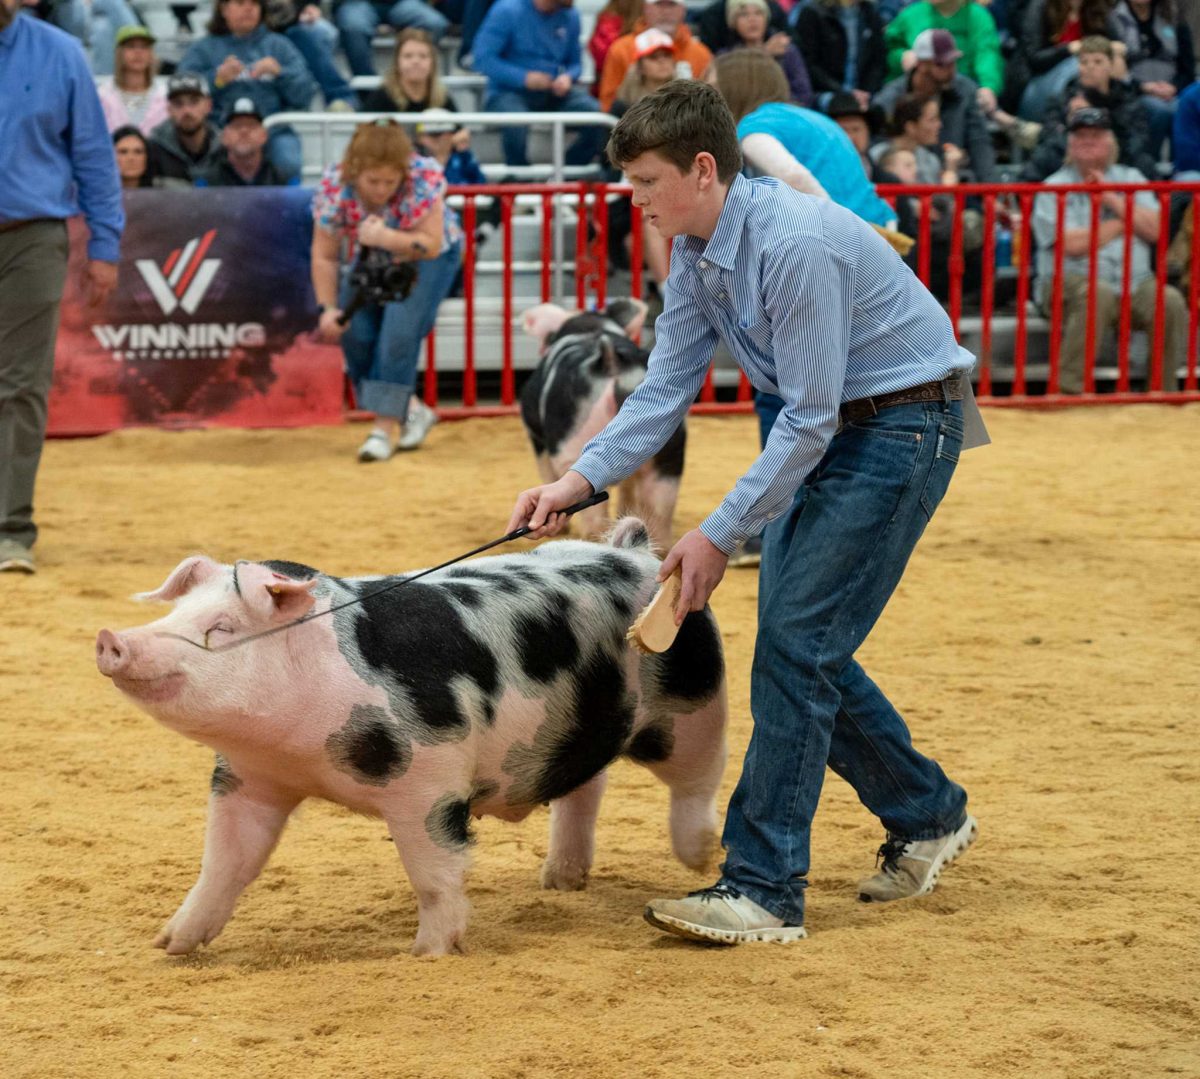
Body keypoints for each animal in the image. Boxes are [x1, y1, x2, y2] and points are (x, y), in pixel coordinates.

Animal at [96, 519, 727, 957]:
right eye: (172, 615)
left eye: (221, 629)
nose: (112, 639)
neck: (306, 749)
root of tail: (635, 552)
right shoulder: (251, 778)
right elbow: (225, 863)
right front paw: (169, 944)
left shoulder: (428, 780)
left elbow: (433, 871)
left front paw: (428, 953)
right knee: (585, 787)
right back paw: (559, 882)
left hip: (691, 704)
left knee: (700, 775)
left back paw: (699, 857)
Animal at [519, 299, 685, 551]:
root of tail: (611, 361)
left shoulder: (538, 440)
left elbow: (546, 472)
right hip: (670, 454)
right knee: (661, 523)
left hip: (575, 442)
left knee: (594, 524)